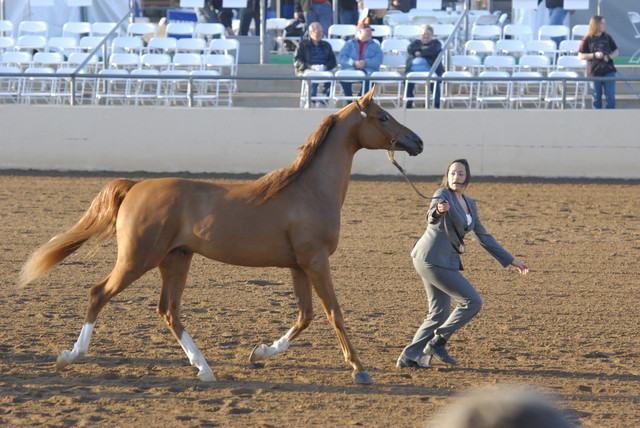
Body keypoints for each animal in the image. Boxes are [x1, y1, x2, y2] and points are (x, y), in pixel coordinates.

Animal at [19, 87, 423, 385]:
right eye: (383, 116)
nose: (417, 141)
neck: (309, 190)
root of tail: (136, 186)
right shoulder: (316, 261)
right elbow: (334, 313)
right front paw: (359, 369)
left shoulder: (299, 265)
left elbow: (306, 316)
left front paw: (259, 353)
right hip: (138, 259)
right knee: (98, 294)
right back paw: (71, 356)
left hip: (175, 259)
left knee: (168, 310)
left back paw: (204, 369)